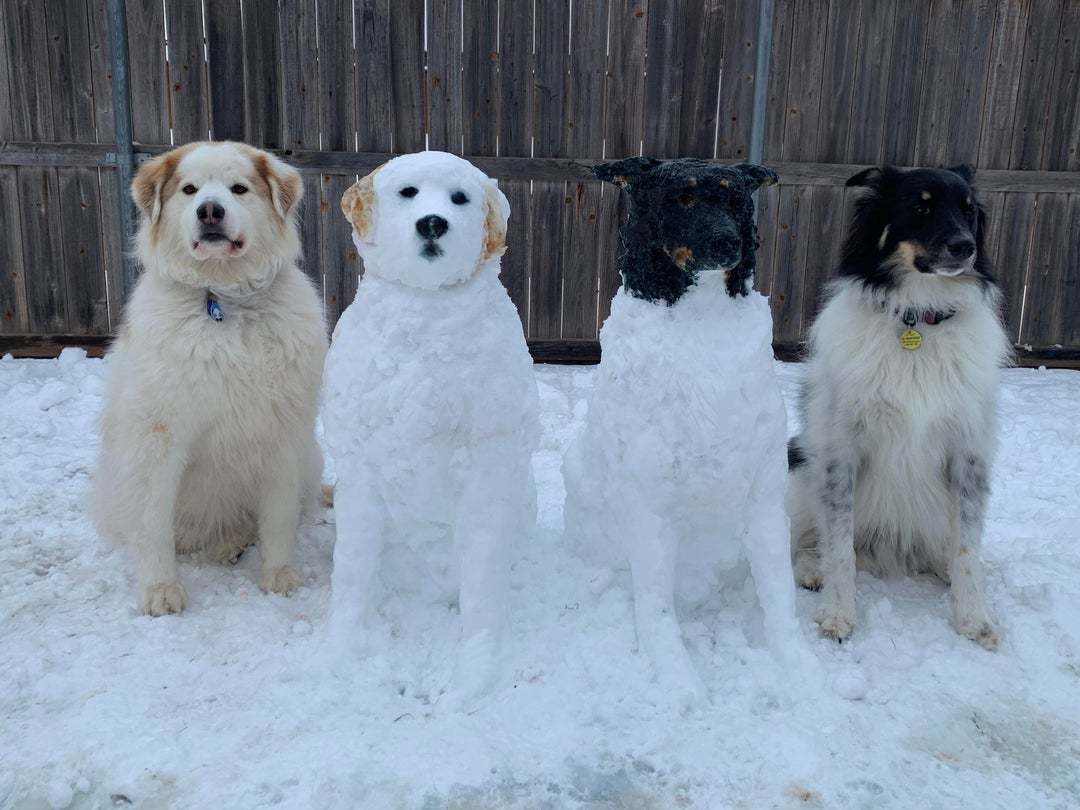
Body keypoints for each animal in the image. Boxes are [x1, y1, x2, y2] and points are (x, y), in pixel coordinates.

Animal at [94, 142, 326, 617]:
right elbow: (154, 525)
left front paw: (280, 576)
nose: (210, 210)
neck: (225, 301)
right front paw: (161, 590)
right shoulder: (157, 437)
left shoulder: (283, 432)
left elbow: (279, 516)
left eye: (238, 188)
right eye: (189, 190)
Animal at [790, 166, 1006, 652]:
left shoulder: (968, 454)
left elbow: (968, 546)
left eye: (967, 209)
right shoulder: (840, 451)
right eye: (920, 208)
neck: (919, 317)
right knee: (805, 541)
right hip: (798, 464)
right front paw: (838, 614)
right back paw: (811, 570)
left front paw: (974, 617)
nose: (966, 246)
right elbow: (839, 545)